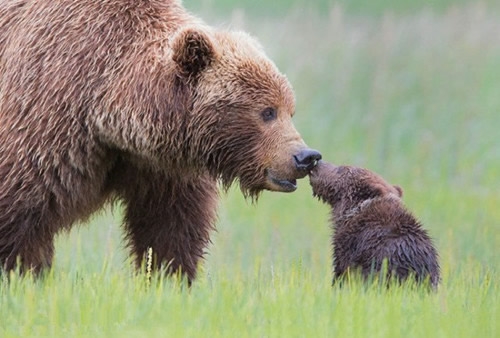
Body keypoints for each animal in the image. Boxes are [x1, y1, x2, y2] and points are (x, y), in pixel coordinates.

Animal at [0, 0, 320, 282]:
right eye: (267, 111)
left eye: (290, 110)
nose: (306, 156)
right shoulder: (48, 119)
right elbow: (20, 212)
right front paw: (23, 274)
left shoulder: (161, 166)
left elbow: (170, 226)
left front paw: (168, 278)